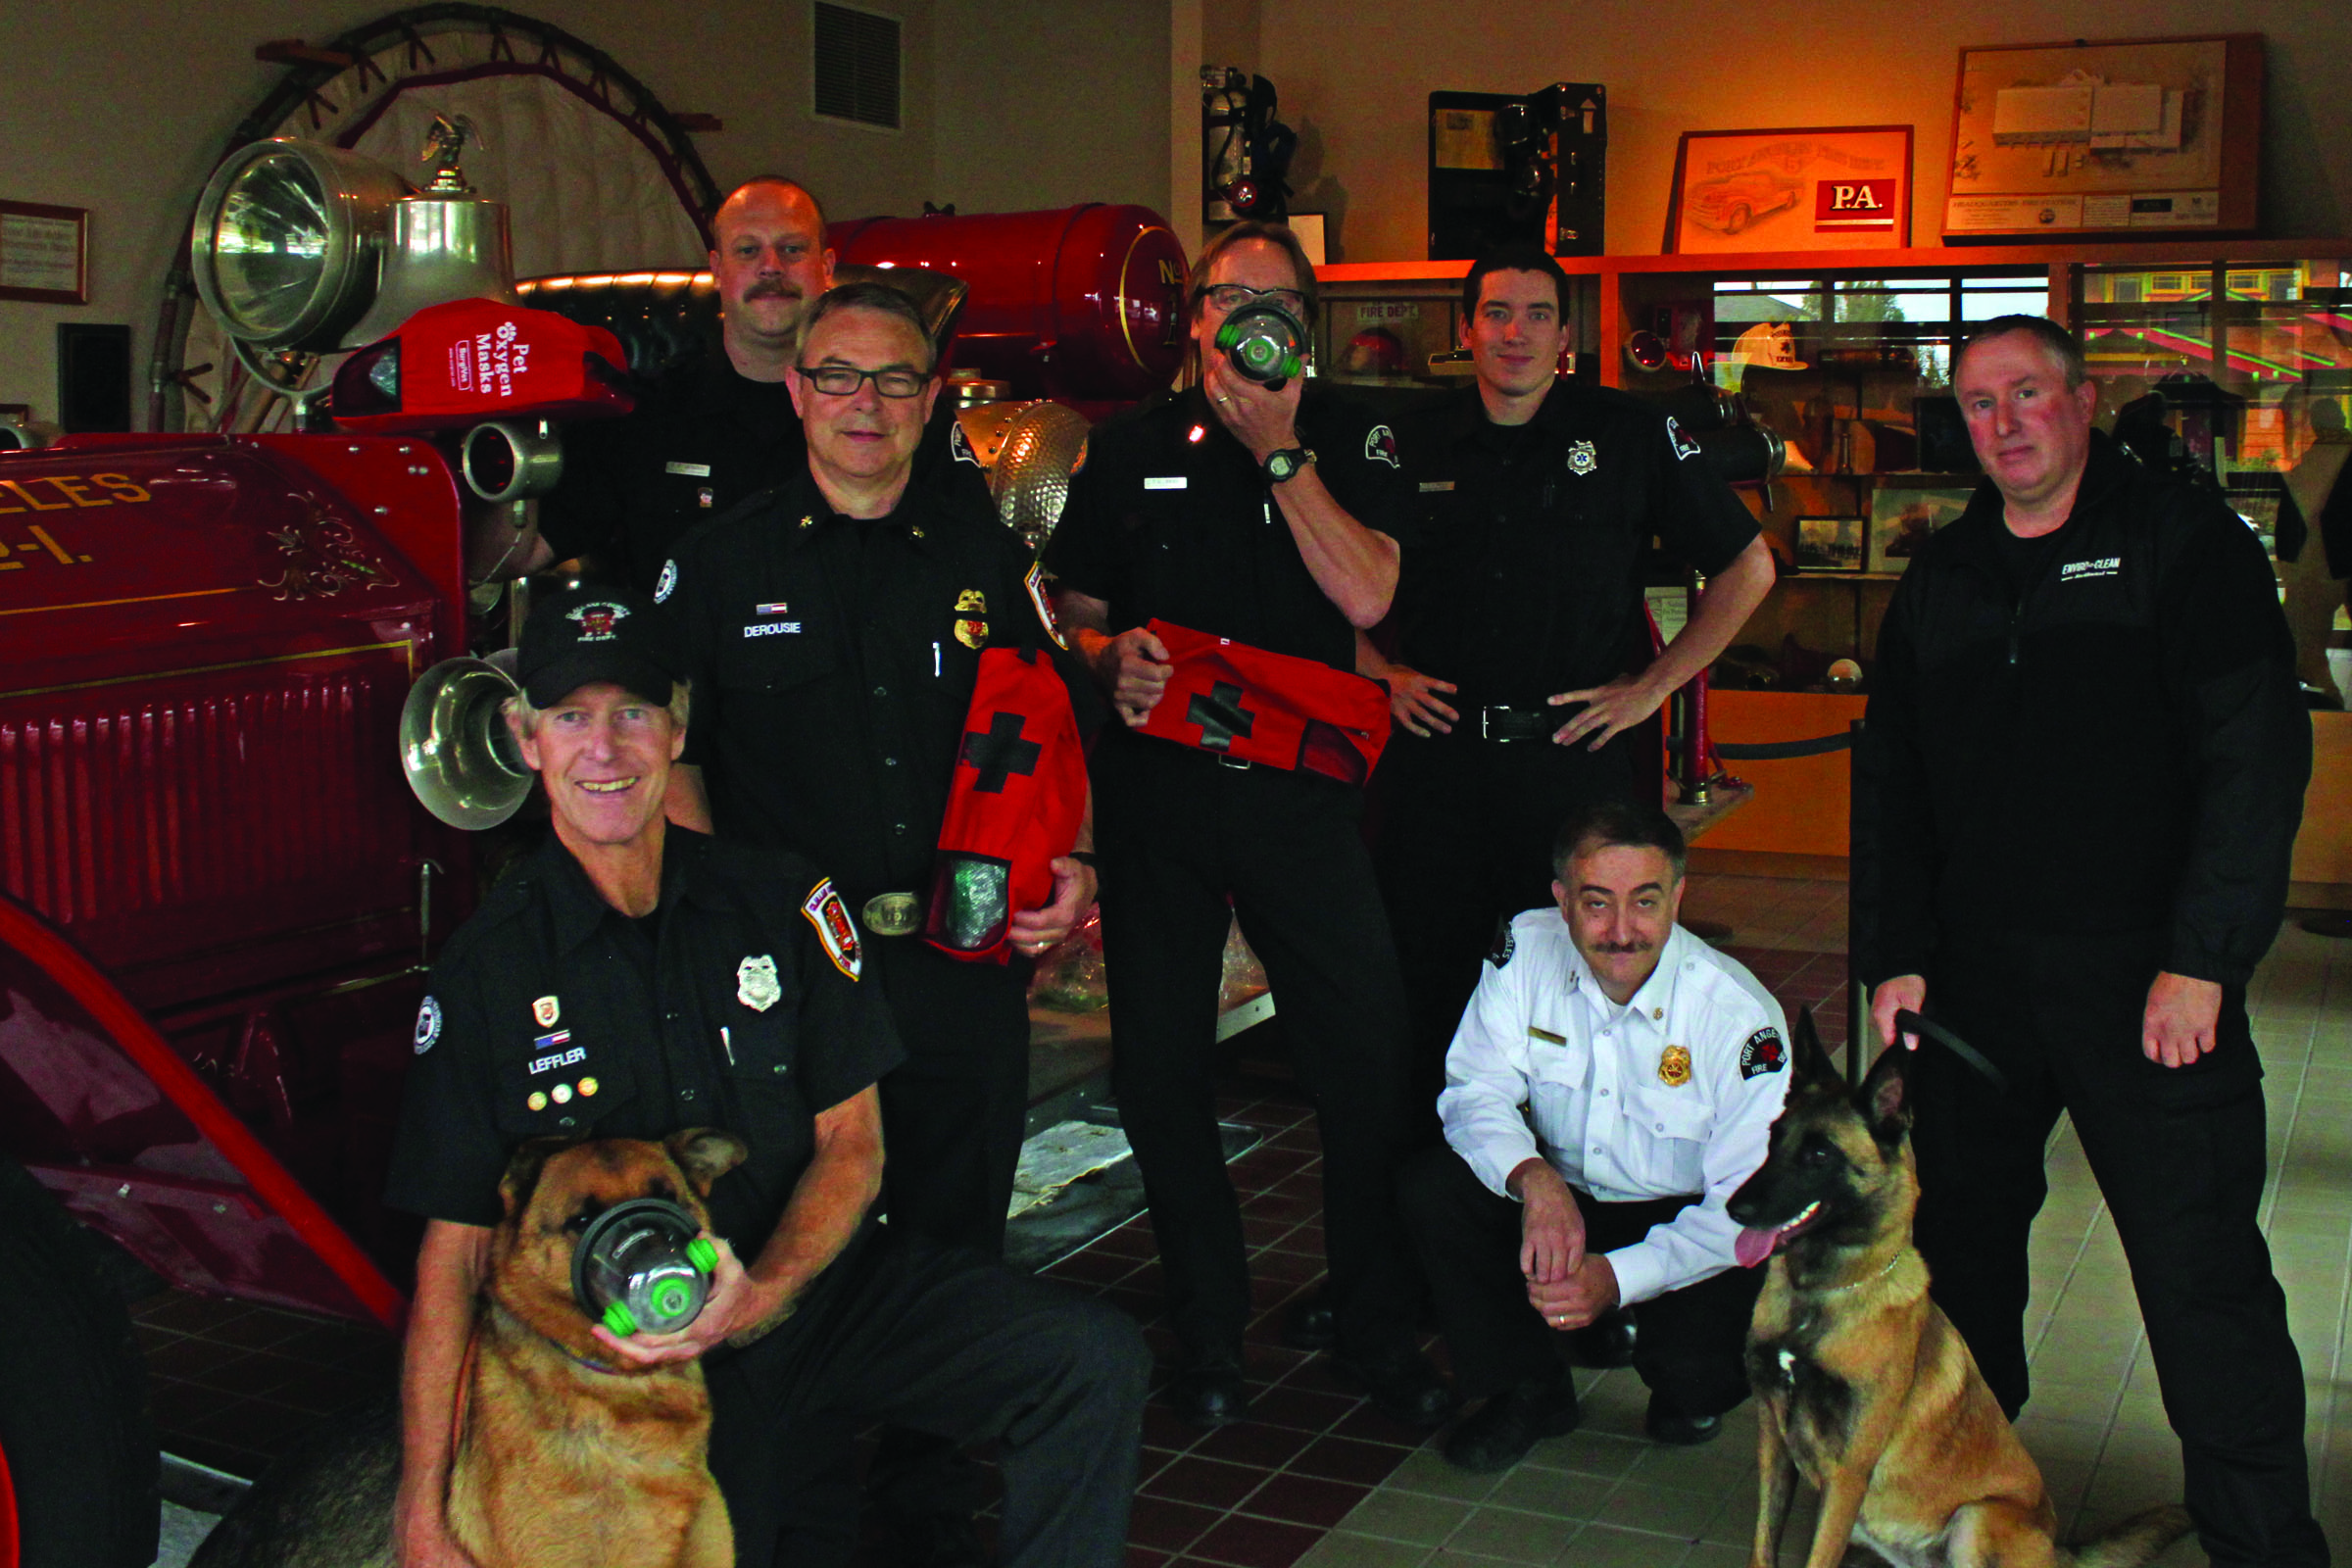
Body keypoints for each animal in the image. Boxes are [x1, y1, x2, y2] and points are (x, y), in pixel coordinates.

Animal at [1721, 1020, 2191, 1568]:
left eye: (1819, 1154)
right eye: (1773, 1139)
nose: (1733, 1208)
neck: (1821, 1295)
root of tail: (2059, 1550)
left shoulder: (1847, 1475)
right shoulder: (1773, 1445)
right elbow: (1763, 1544)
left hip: (1974, 1519)